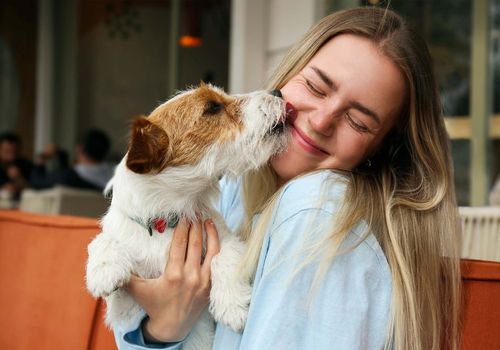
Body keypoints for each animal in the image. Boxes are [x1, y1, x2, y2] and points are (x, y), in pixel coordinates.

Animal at [85, 83, 290, 348]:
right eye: (213, 107)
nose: (277, 92)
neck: (168, 219)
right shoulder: (125, 308)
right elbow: (103, 241)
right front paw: (103, 270)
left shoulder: (224, 237)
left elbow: (224, 256)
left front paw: (232, 305)